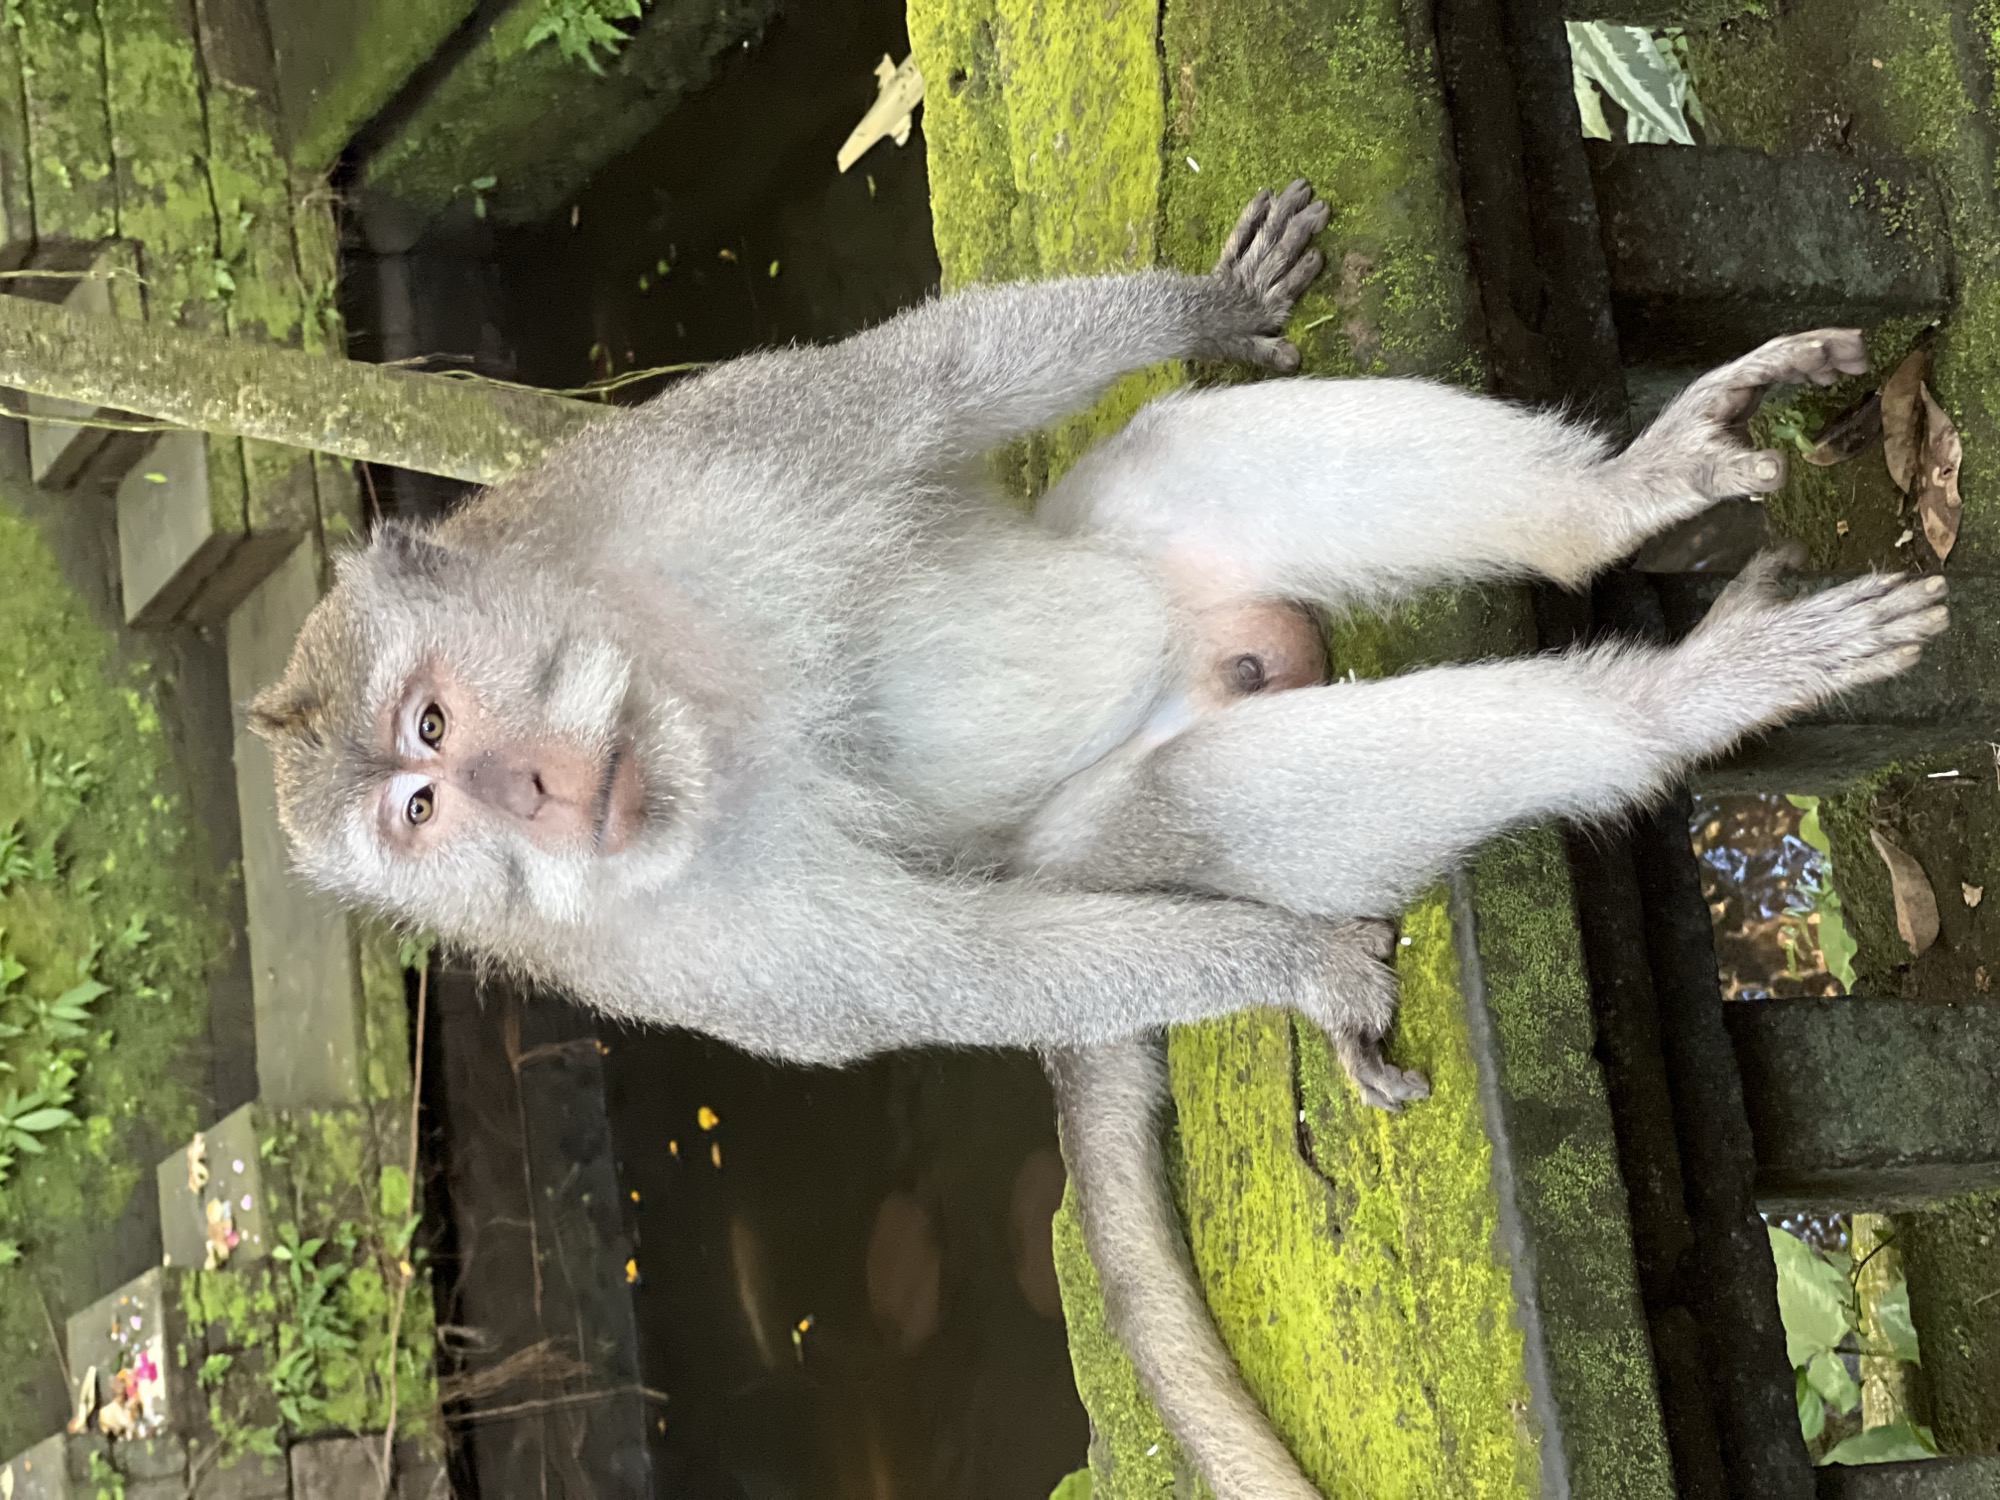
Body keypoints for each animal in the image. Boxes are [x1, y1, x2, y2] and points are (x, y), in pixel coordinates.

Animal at [249, 180, 1947, 1499]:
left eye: (426, 732)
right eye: (422, 815)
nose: (527, 798)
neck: (678, 711)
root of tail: (1214, 649)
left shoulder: (664, 463)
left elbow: (930, 386)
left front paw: (1213, 302)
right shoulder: (656, 950)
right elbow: (953, 970)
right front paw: (1298, 969)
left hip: (1157, 558)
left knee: (1186, 460)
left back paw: (1610, 509)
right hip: (1104, 826)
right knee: (1191, 812)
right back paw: (1665, 710)